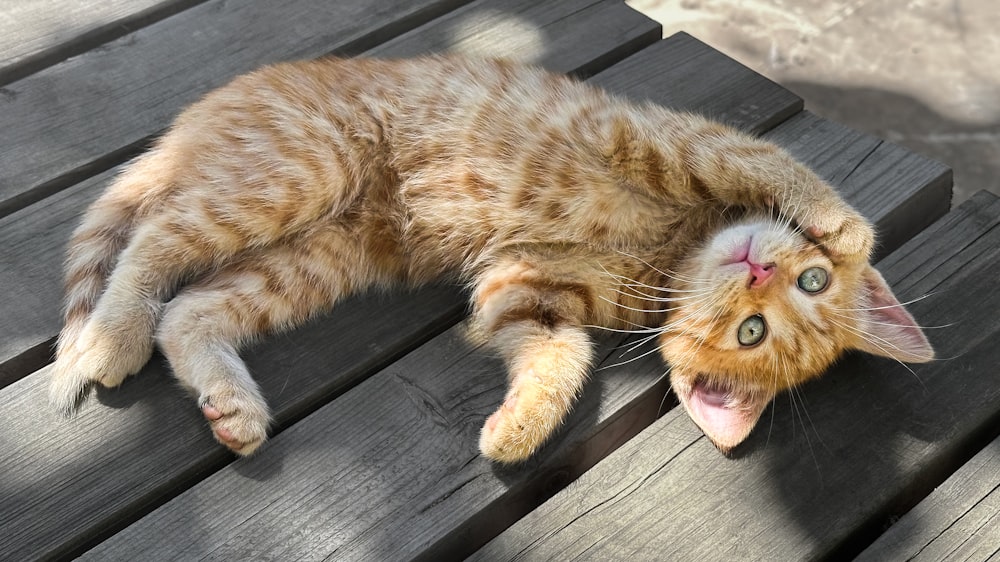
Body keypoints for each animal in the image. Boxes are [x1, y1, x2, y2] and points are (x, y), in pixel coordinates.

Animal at [50, 54, 932, 462]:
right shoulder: (664, 140)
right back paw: (113, 333)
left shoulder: (522, 287)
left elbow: (561, 355)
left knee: (192, 307)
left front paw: (519, 428)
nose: (760, 272)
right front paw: (846, 225)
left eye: (755, 333)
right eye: (808, 282)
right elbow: (774, 163)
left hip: (321, 255)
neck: (669, 257)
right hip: (298, 168)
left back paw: (229, 403)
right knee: (155, 238)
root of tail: (198, 119)